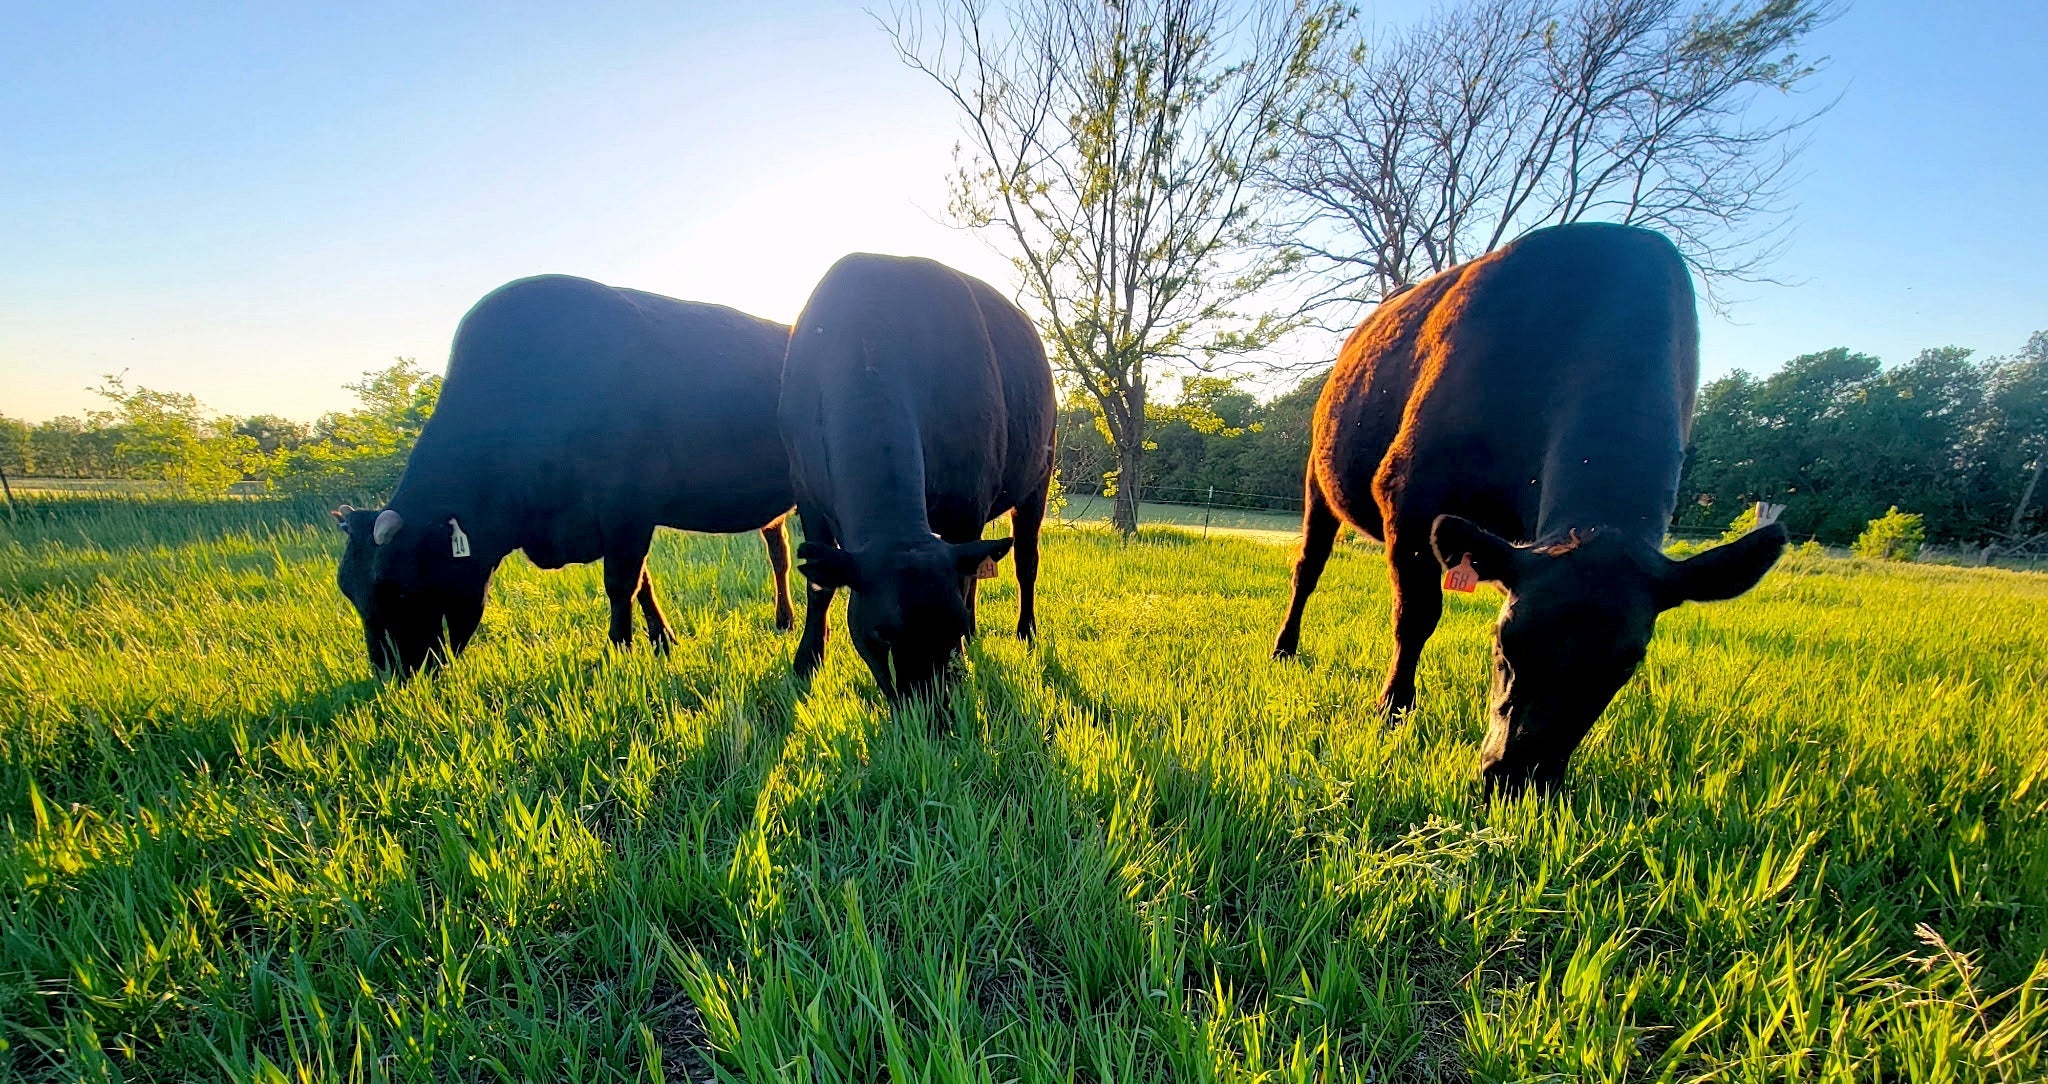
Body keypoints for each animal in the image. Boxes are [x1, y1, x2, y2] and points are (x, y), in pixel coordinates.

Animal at [333, 274, 797, 678]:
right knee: (780, 551)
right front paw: (662, 640)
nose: (391, 674)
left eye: (399, 590)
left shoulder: (628, 508)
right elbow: (643, 583)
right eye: (348, 592)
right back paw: (784, 619)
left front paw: (618, 649)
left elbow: (621, 583)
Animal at [779, 253, 1055, 702]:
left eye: (949, 630)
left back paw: (1025, 631)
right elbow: (820, 589)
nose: (930, 712)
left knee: (1024, 562)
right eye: (882, 636)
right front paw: (807, 660)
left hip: (1037, 481)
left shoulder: (967, 504)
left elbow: (966, 583)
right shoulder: (806, 492)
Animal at [1271, 223, 1787, 793]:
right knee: (1308, 568)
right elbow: (1415, 617)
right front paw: (1393, 711)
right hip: (1319, 480)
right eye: (1506, 642)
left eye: (1626, 665)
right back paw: (1286, 646)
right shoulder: (1409, 496)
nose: (1516, 774)